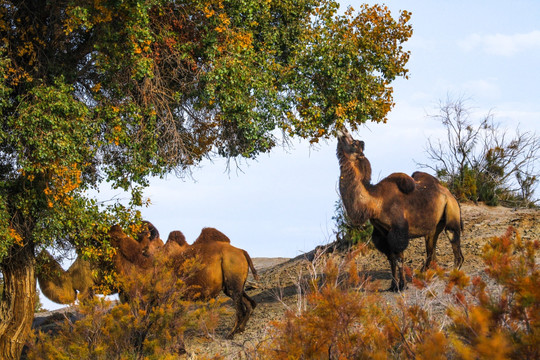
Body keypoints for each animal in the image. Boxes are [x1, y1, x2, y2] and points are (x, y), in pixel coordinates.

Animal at [336, 128, 462, 292]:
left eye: (354, 142)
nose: (342, 129)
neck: (375, 202)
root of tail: (449, 194)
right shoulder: (382, 234)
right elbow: (391, 259)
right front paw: (393, 285)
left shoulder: (399, 230)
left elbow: (399, 258)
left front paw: (402, 286)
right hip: (434, 226)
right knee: (431, 250)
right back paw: (425, 274)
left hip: (452, 211)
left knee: (453, 239)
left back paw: (453, 274)